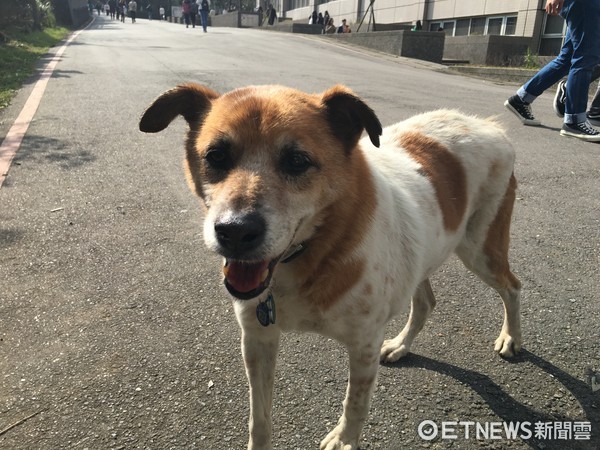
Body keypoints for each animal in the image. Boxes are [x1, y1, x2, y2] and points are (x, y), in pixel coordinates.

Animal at [139, 84, 520, 450]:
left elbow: (356, 404)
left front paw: (343, 439)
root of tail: (489, 126)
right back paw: (400, 345)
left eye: (297, 160)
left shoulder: (364, 344)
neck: (313, 251)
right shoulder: (258, 338)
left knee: (512, 286)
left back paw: (511, 338)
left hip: (479, 250)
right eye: (216, 156)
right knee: (426, 301)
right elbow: (259, 419)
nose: (235, 231)